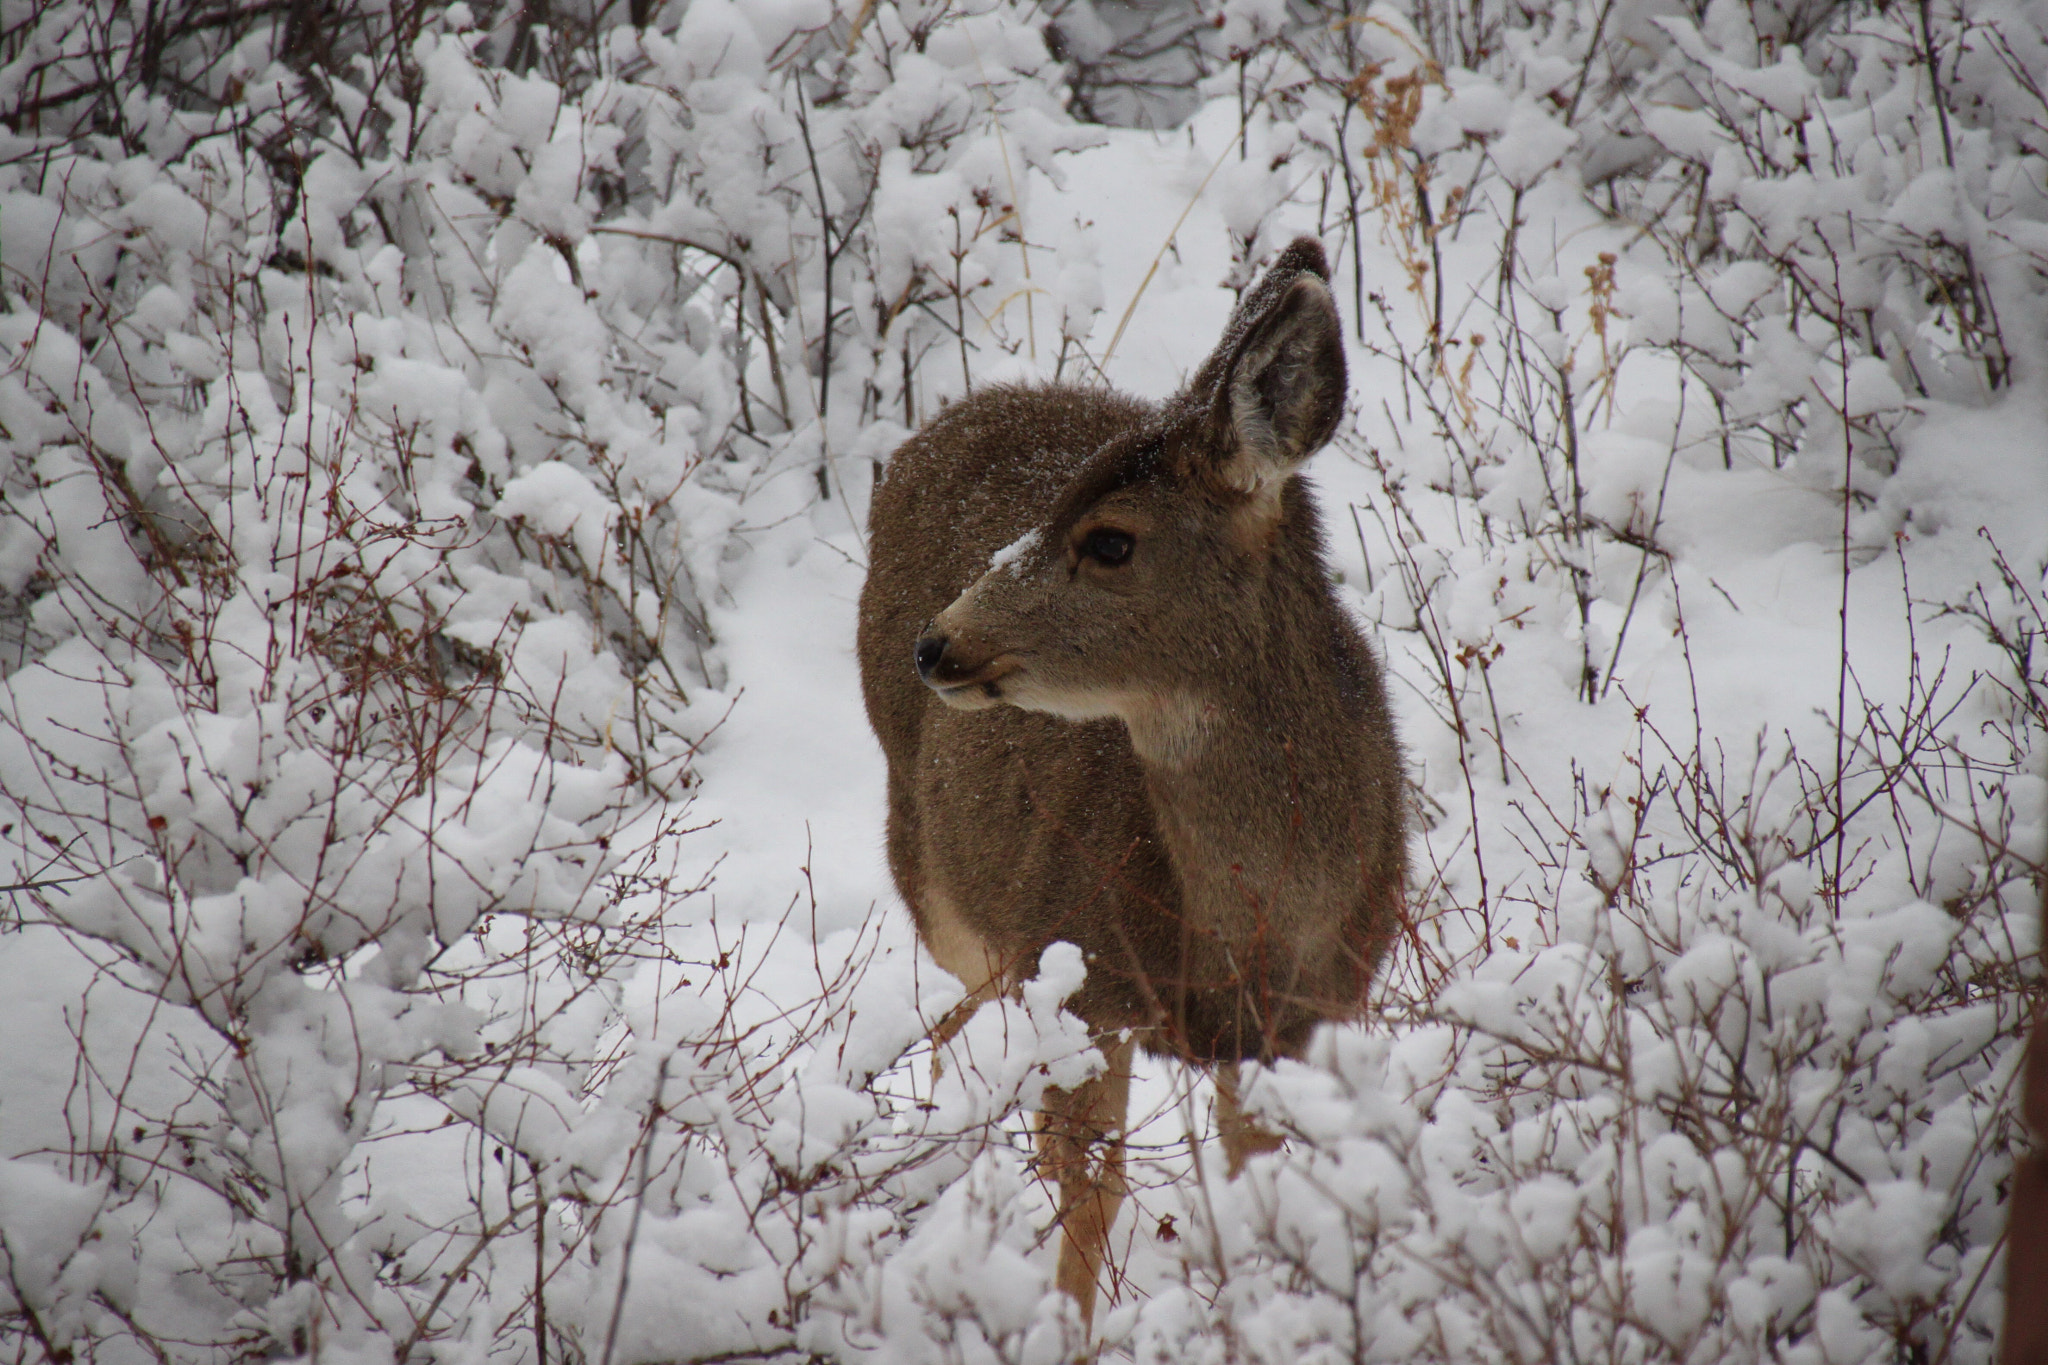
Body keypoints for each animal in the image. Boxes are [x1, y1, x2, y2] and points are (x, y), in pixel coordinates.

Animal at [856, 237, 1408, 1331]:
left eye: (1110, 539)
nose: (937, 643)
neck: (1253, 928)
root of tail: (944, 420)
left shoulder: (1305, 1016)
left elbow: (1257, 1174)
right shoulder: (1083, 978)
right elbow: (1092, 1192)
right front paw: (1063, 1327)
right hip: (942, 886)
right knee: (955, 1023)